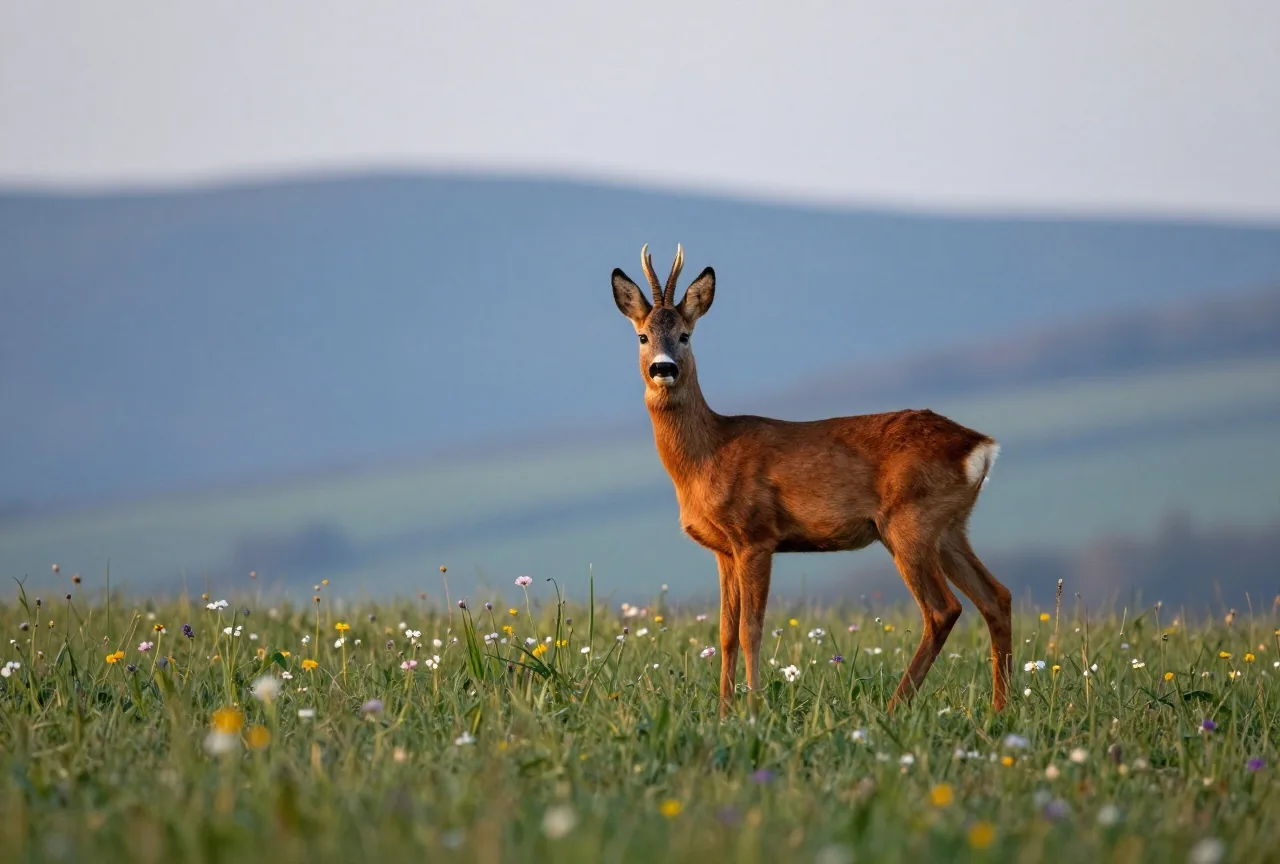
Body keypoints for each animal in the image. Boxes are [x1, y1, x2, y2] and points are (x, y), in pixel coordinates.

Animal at [611, 244, 1012, 717]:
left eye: (686, 335)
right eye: (642, 336)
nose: (663, 368)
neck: (706, 455)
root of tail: (980, 445)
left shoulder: (755, 535)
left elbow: (750, 629)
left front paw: (753, 707)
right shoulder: (724, 549)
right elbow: (725, 633)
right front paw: (724, 712)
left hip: (910, 522)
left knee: (943, 609)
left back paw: (894, 706)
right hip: (949, 527)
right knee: (996, 596)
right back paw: (1000, 707)